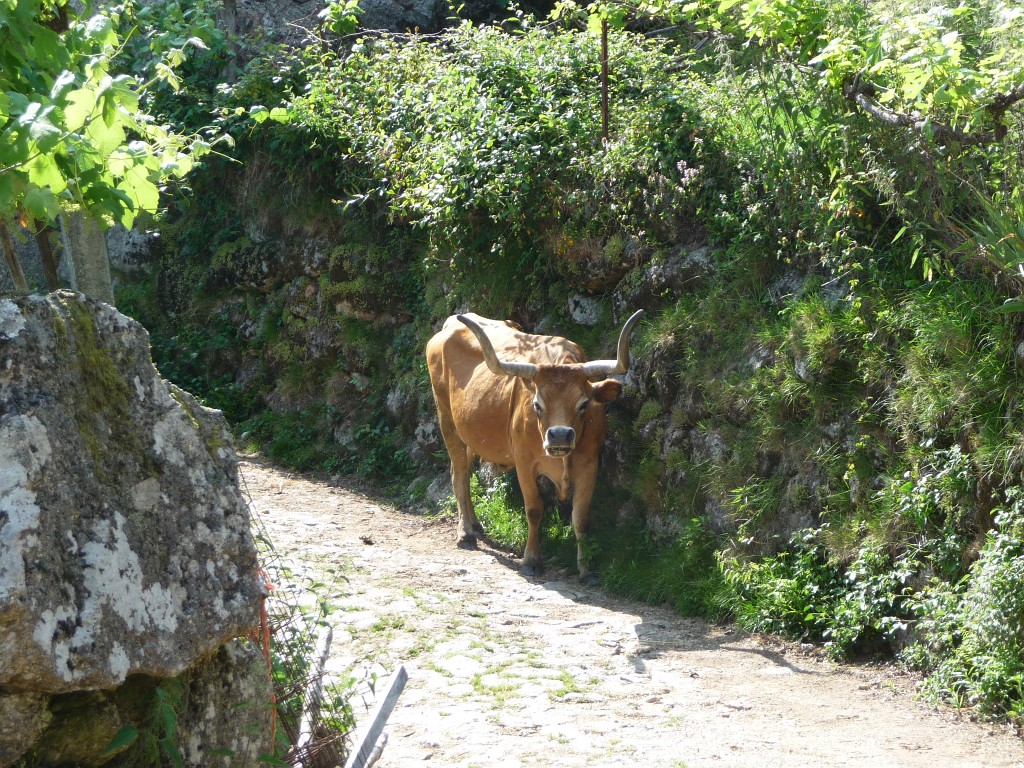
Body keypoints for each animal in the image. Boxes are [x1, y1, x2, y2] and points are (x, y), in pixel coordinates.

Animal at [423, 309, 638, 581]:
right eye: (537, 404)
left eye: (584, 404)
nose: (559, 436)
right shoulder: (525, 462)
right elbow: (534, 509)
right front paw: (532, 559)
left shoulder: (590, 464)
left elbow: (581, 518)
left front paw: (586, 569)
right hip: (446, 419)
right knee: (459, 473)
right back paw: (465, 533)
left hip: (469, 431)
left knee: (460, 470)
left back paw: (475, 525)